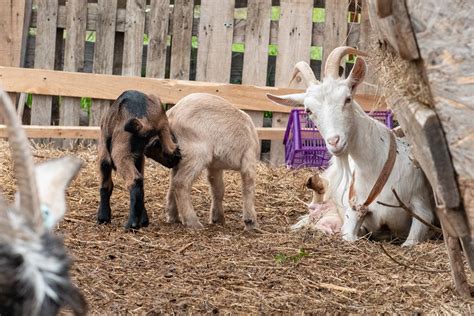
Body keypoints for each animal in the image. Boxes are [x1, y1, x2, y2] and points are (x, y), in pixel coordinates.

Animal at [146, 92, 260, 230]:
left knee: (173, 182)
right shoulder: (249, 158)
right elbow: (248, 188)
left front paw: (217, 218)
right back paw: (192, 222)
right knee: (180, 183)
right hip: (196, 153)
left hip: (181, 157)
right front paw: (250, 222)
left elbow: (218, 189)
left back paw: (174, 217)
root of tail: (173, 113)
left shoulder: (215, 166)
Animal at [266, 46, 434, 247]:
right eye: (308, 110)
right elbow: (348, 236)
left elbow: (411, 241)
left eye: (347, 99)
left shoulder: (422, 207)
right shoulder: (354, 211)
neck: (375, 169)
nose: (334, 141)